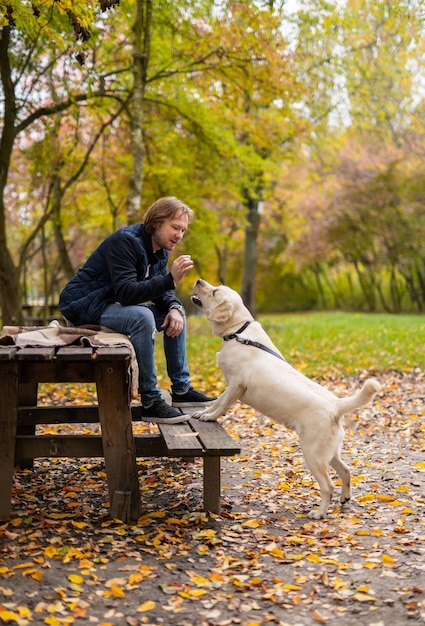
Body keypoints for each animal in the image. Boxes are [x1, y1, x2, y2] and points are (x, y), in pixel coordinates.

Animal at [192, 278, 380, 516]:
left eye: (215, 291)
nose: (199, 280)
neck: (238, 332)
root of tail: (336, 405)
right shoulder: (230, 384)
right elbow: (216, 400)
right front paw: (203, 412)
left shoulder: (237, 384)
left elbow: (222, 404)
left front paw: (210, 417)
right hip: (330, 453)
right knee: (346, 471)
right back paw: (345, 498)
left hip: (313, 453)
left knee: (328, 486)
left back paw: (319, 513)